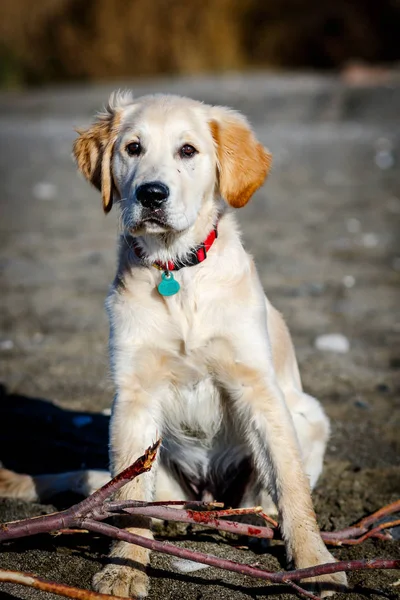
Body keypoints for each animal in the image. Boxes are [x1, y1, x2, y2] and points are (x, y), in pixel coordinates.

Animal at [0, 92, 346, 596]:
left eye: (187, 150)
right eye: (133, 148)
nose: (152, 194)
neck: (174, 271)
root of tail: (208, 497)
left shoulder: (257, 387)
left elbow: (291, 483)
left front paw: (315, 560)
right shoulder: (134, 395)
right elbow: (125, 497)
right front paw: (125, 568)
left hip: (308, 417)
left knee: (273, 490)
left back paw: (260, 522)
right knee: (137, 495)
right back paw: (165, 521)